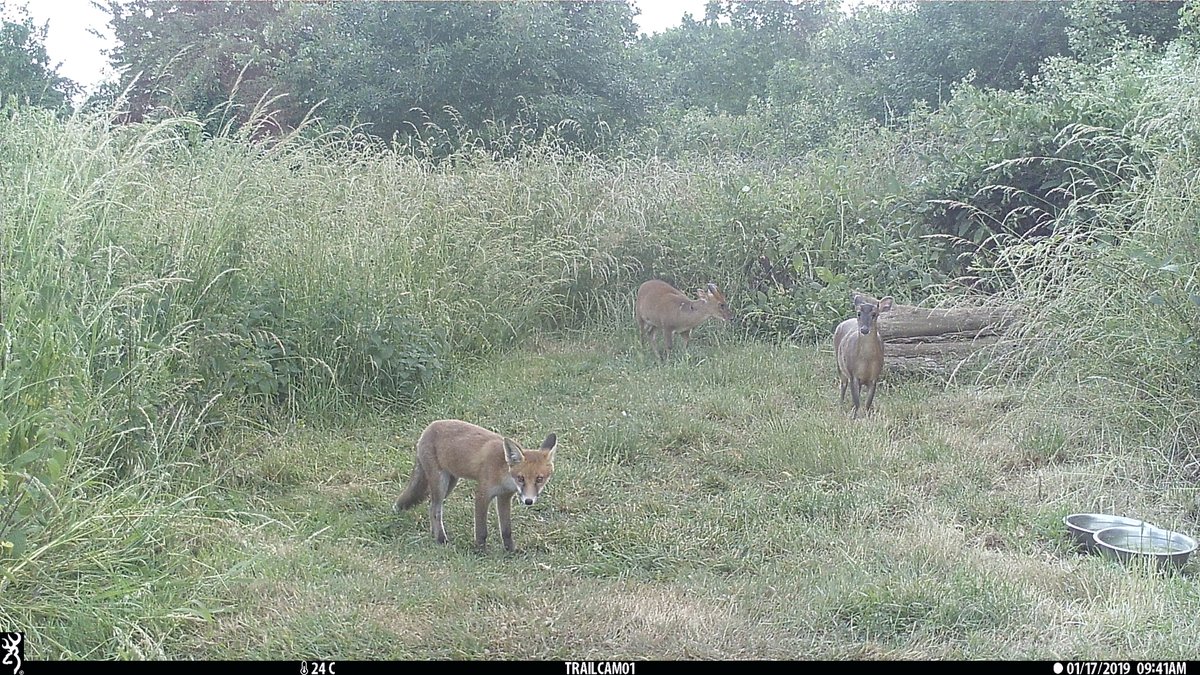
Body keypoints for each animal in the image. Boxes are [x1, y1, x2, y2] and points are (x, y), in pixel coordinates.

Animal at [394, 419, 557, 552]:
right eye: (521, 478)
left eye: (539, 479)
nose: (528, 501)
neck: (503, 473)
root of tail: (428, 428)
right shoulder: (482, 495)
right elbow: (481, 531)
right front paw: (480, 551)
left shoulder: (504, 497)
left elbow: (506, 530)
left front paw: (511, 550)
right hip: (440, 483)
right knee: (436, 510)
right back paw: (441, 539)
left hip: (450, 483)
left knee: (431, 507)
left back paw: (435, 535)